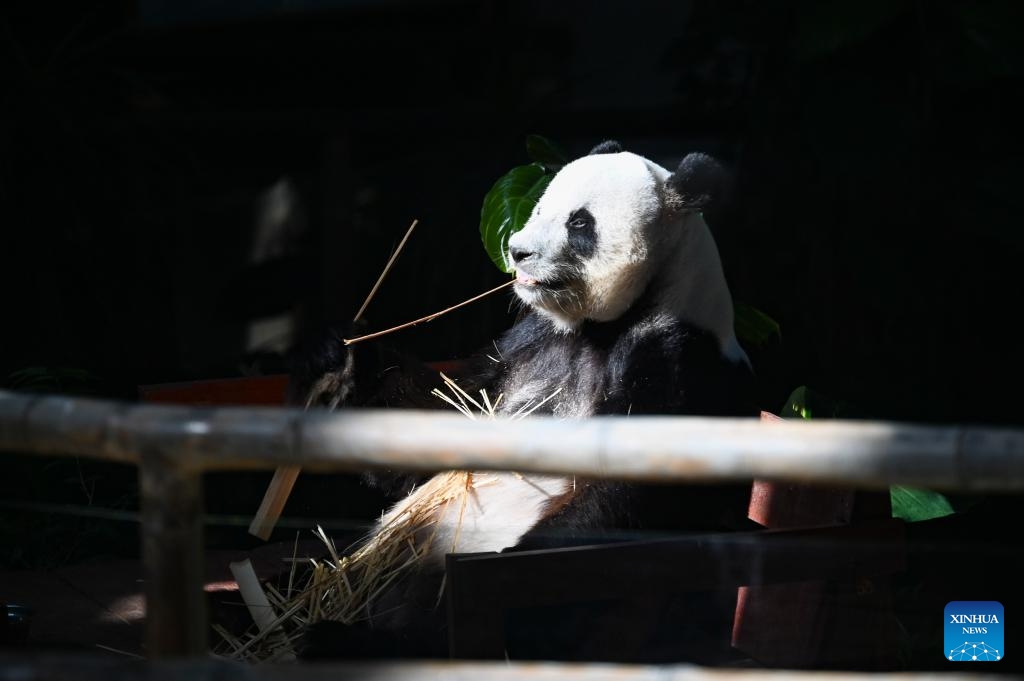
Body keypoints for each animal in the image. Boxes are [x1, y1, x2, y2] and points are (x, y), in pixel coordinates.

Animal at [290, 140, 759, 662]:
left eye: (580, 224)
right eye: (537, 208)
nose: (517, 251)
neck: (607, 324)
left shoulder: (675, 357)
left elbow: (623, 497)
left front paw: (503, 573)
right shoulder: (528, 343)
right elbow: (442, 420)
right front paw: (339, 356)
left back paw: (350, 639)